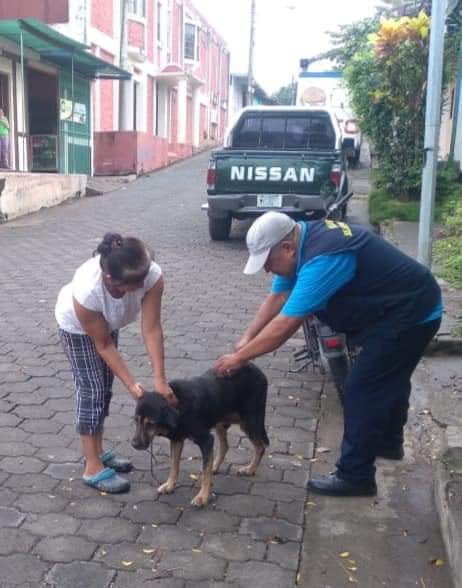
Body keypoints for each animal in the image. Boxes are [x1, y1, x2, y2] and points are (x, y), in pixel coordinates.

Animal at [131, 362, 268, 506]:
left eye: (150, 424)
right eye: (136, 420)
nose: (134, 444)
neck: (179, 407)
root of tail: (256, 369)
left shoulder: (206, 440)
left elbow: (205, 475)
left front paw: (203, 497)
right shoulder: (176, 439)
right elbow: (174, 465)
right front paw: (169, 486)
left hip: (249, 421)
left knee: (260, 447)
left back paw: (250, 469)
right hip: (220, 421)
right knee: (225, 446)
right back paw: (215, 466)